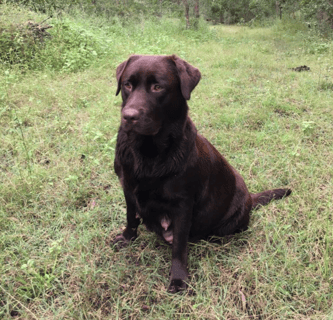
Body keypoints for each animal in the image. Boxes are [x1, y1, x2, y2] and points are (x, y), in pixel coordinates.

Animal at [112, 54, 290, 292]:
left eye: (158, 87)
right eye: (127, 85)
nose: (129, 116)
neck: (148, 153)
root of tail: (251, 199)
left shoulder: (182, 204)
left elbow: (179, 245)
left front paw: (178, 278)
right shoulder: (128, 189)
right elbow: (131, 217)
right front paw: (127, 238)